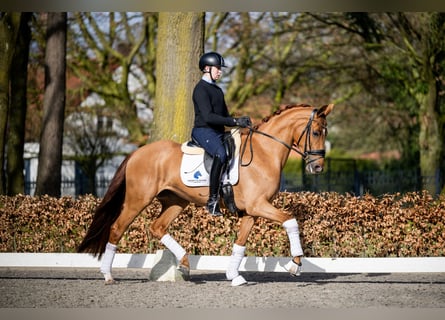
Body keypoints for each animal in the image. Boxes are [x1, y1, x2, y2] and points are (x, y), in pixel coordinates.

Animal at [77, 102, 332, 284]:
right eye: (316, 133)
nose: (318, 168)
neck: (263, 152)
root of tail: (137, 153)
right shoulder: (258, 205)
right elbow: (291, 220)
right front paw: (295, 264)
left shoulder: (251, 211)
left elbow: (240, 244)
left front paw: (234, 276)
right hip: (138, 200)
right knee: (117, 228)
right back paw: (108, 275)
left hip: (176, 201)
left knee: (157, 227)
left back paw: (185, 261)